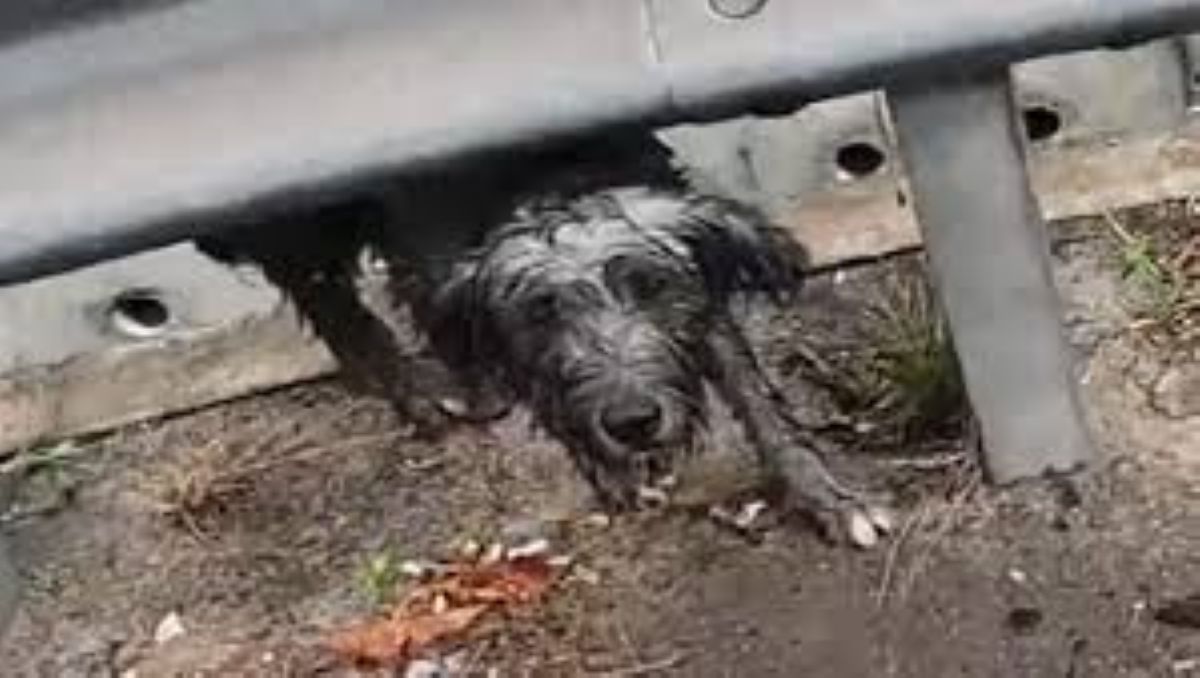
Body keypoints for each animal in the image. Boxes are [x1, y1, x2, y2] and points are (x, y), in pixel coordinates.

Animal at [199, 129, 892, 547]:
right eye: (540, 313)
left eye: (650, 287)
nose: (633, 422)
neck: (541, 181)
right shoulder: (440, 266)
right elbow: (529, 380)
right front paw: (608, 469)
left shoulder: (698, 298)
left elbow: (758, 401)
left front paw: (827, 497)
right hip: (306, 222)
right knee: (328, 299)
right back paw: (417, 390)